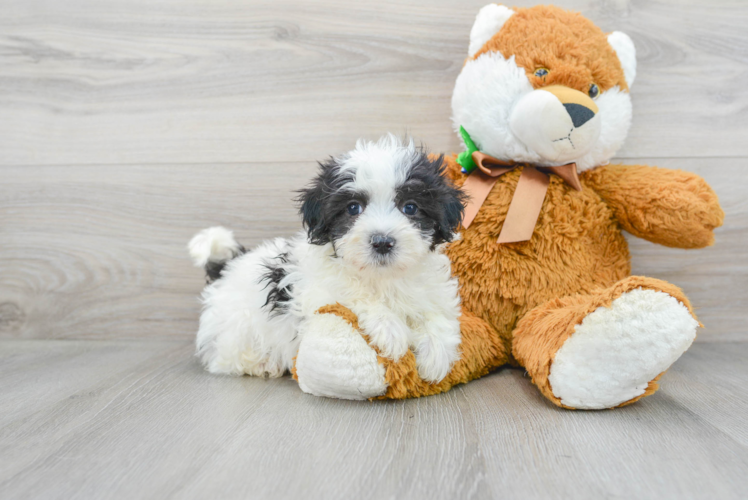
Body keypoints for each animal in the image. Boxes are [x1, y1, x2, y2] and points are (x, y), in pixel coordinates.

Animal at [188, 135, 462, 388]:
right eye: (353, 208)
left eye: (410, 207)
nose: (382, 242)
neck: (381, 277)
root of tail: (227, 268)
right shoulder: (315, 291)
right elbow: (351, 294)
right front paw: (390, 330)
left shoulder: (430, 293)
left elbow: (437, 316)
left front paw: (437, 354)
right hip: (236, 329)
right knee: (225, 357)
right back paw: (262, 364)